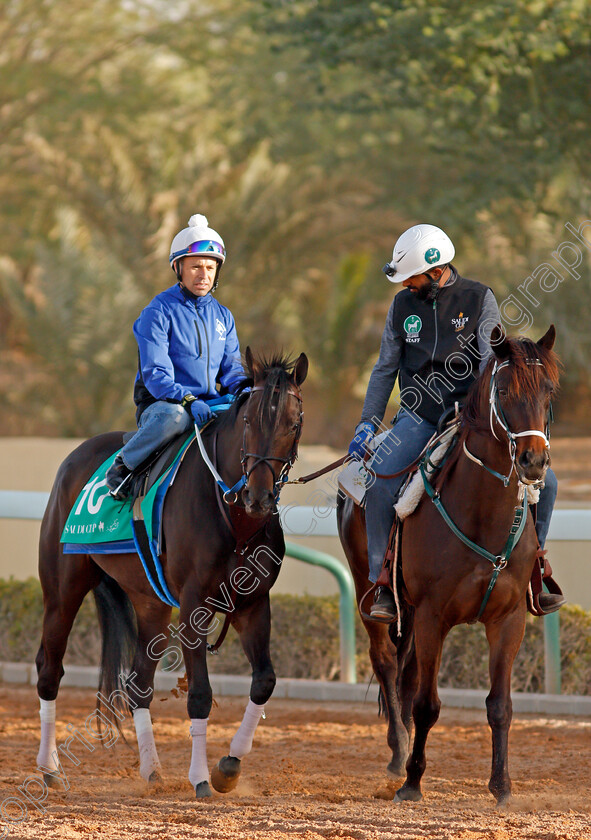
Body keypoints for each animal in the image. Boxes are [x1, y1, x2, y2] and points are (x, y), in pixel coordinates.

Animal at [36, 348, 308, 800]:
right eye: (249, 422)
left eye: (293, 423)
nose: (258, 497)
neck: (234, 518)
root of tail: (74, 458)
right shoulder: (195, 605)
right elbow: (199, 694)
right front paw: (200, 778)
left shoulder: (253, 603)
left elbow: (265, 681)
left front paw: (229, 766)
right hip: (62, 590)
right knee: (48, 669)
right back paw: (50, 769)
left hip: (151, 604)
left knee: (137, 685)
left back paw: (152, 770)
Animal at [340, 324, 560, 804]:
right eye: (504, 389)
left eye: (548, 390)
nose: (534, 461)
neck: (483, 515)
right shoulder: (432, 616)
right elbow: (427, 705)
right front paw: (412, 782)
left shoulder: (508, 619)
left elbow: (500, 706)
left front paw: (501, 785)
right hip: (372, 593)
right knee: (387, 663)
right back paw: (398, 754)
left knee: (404, 676)